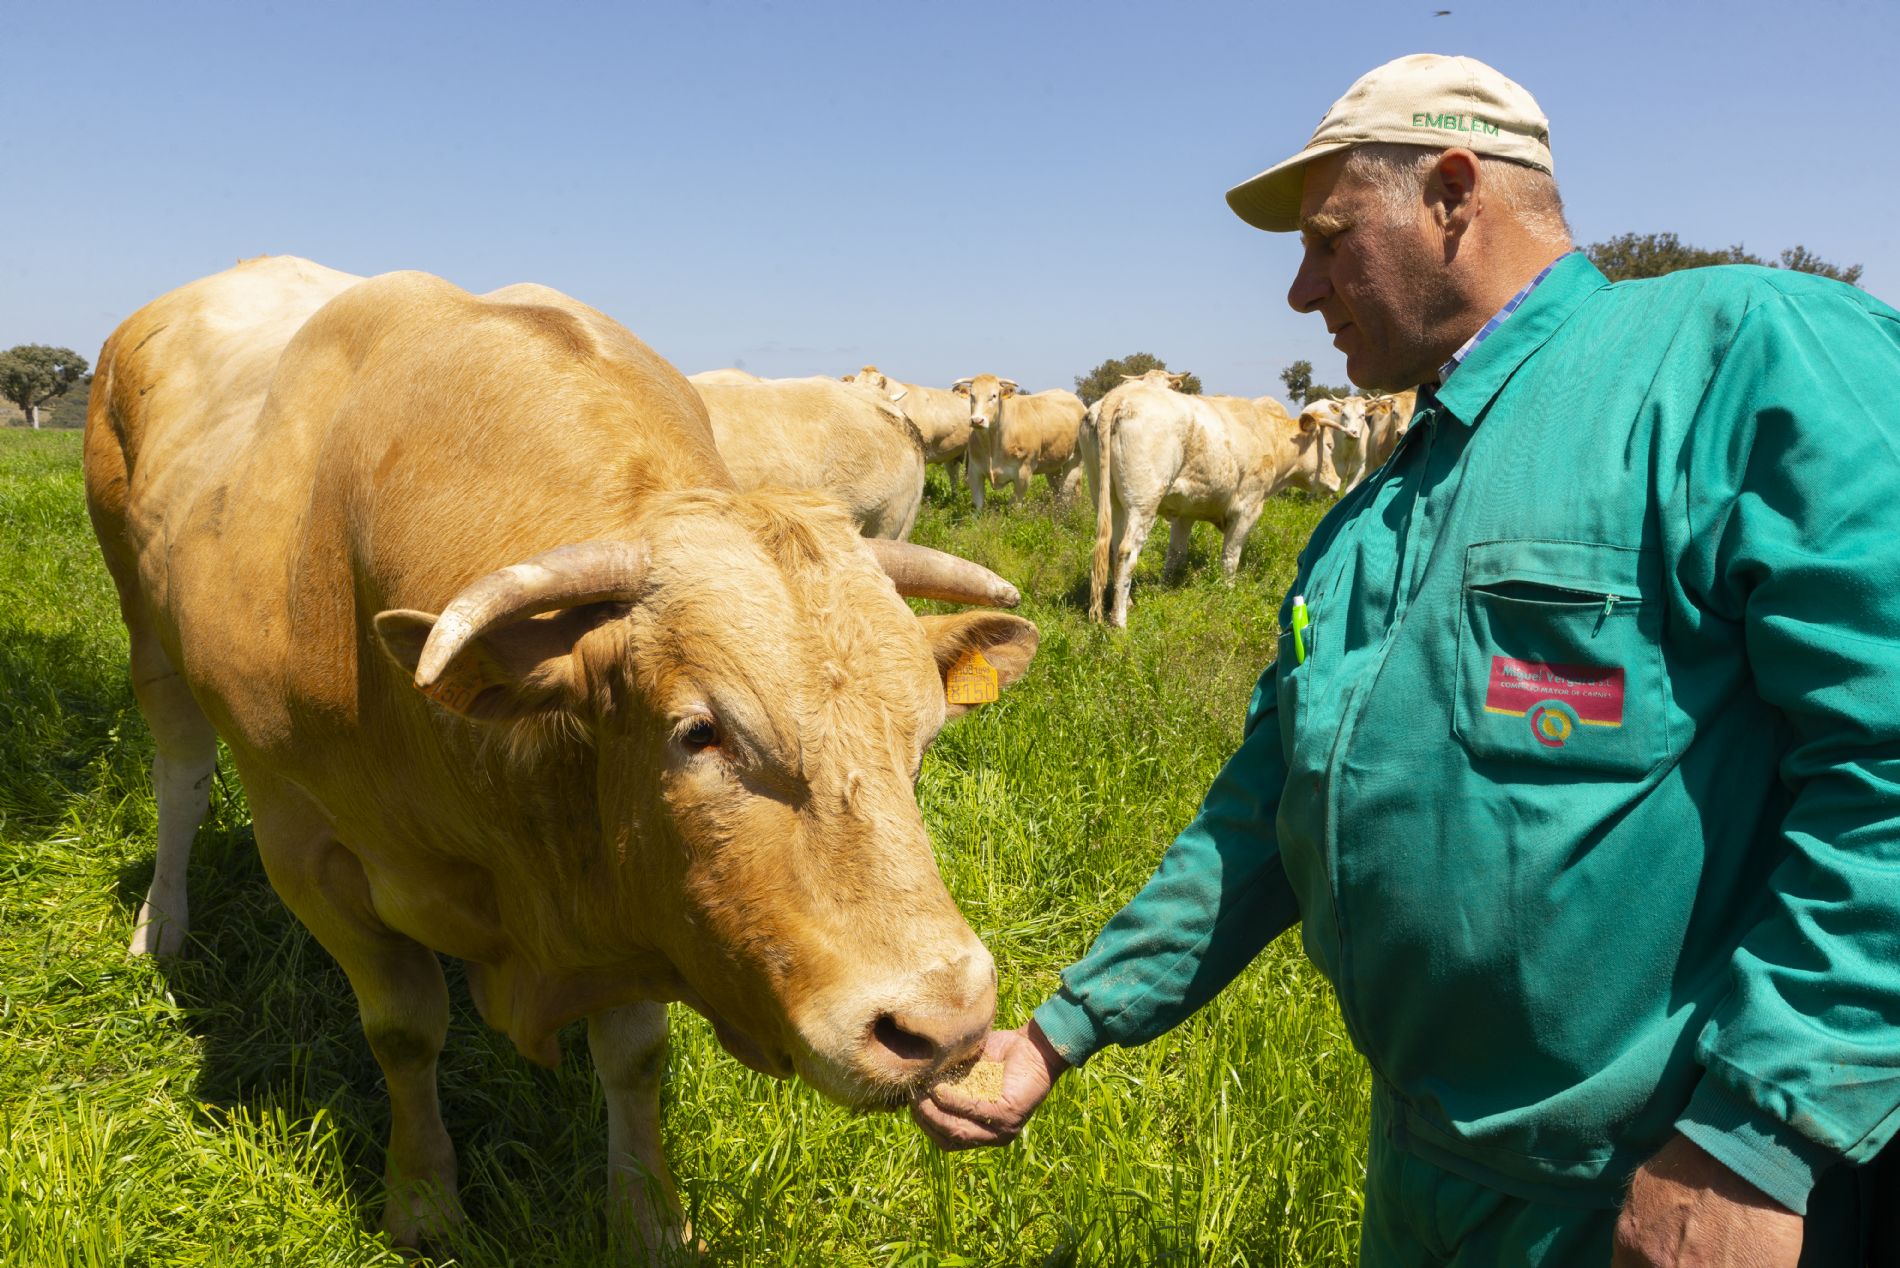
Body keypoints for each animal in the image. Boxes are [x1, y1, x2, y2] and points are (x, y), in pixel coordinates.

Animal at [950, 374, 1086, 511]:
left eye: (994, 395)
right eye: (972, 395)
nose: (977, 420)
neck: (993, 443)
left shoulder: (1023, 474)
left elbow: (1014, 506)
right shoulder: (974, 471)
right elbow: (978, 505)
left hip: (1076, 458)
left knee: (1066, 491)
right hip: (1053, 463)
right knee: (1057, 489)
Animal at [1087, 371, 1341, 627]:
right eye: (1330, 446)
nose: (1338, 481)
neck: (1267, 435)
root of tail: (1119, 395)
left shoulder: (1185, 513)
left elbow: (1175, 556)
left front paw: (1164, 589)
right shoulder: (1248, 509)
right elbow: (1230, 556)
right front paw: (1228, 591)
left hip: (1109, 501)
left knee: (1112, 549)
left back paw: (1126, 603)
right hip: (1142, 504)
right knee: (1126, 553)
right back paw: (1119, 620)